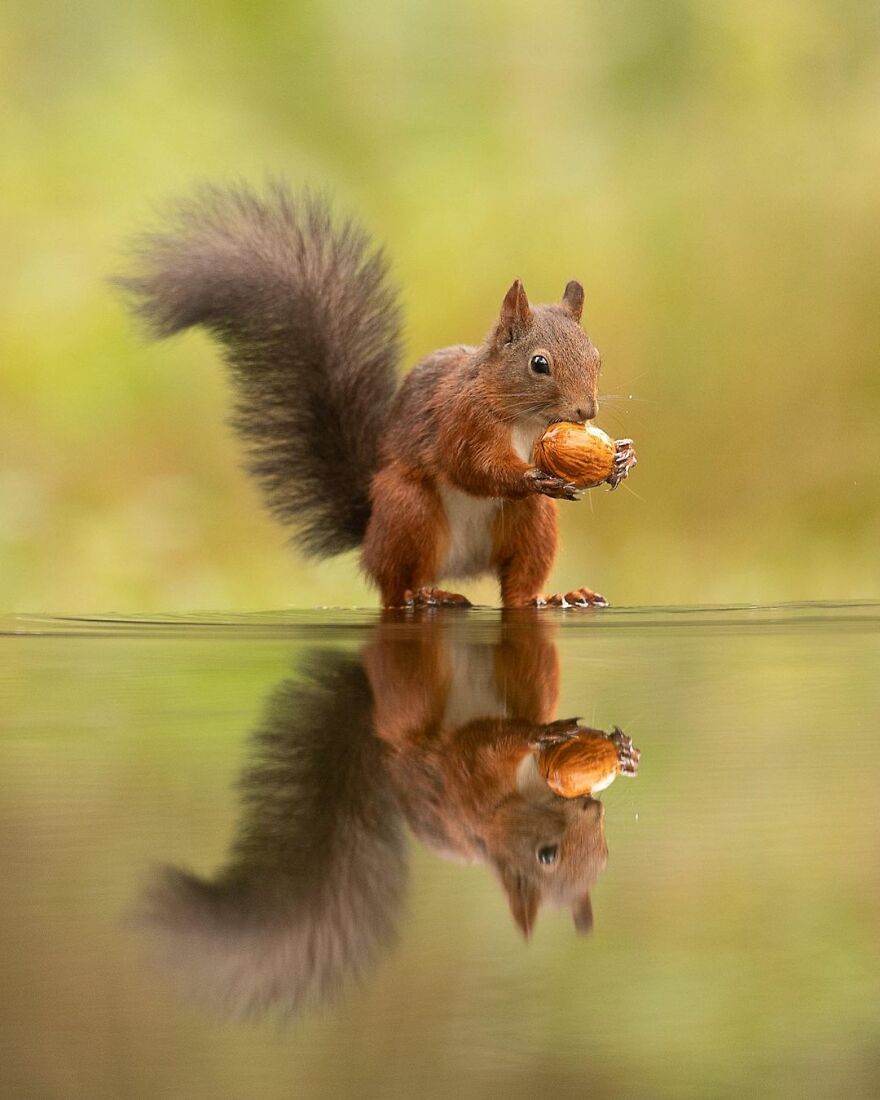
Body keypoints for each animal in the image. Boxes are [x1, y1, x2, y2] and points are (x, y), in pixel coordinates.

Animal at [118, 182, 635, 608]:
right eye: (539, 364)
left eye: (597, 357)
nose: (585, 409)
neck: (526, 421)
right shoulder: (459, 420)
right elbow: (470, 466)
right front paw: (530, 475)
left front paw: (622, 458)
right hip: (408, 510)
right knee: (397, 587)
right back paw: (427, 596)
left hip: (532, 526)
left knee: (518, 590)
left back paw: (555, 597)